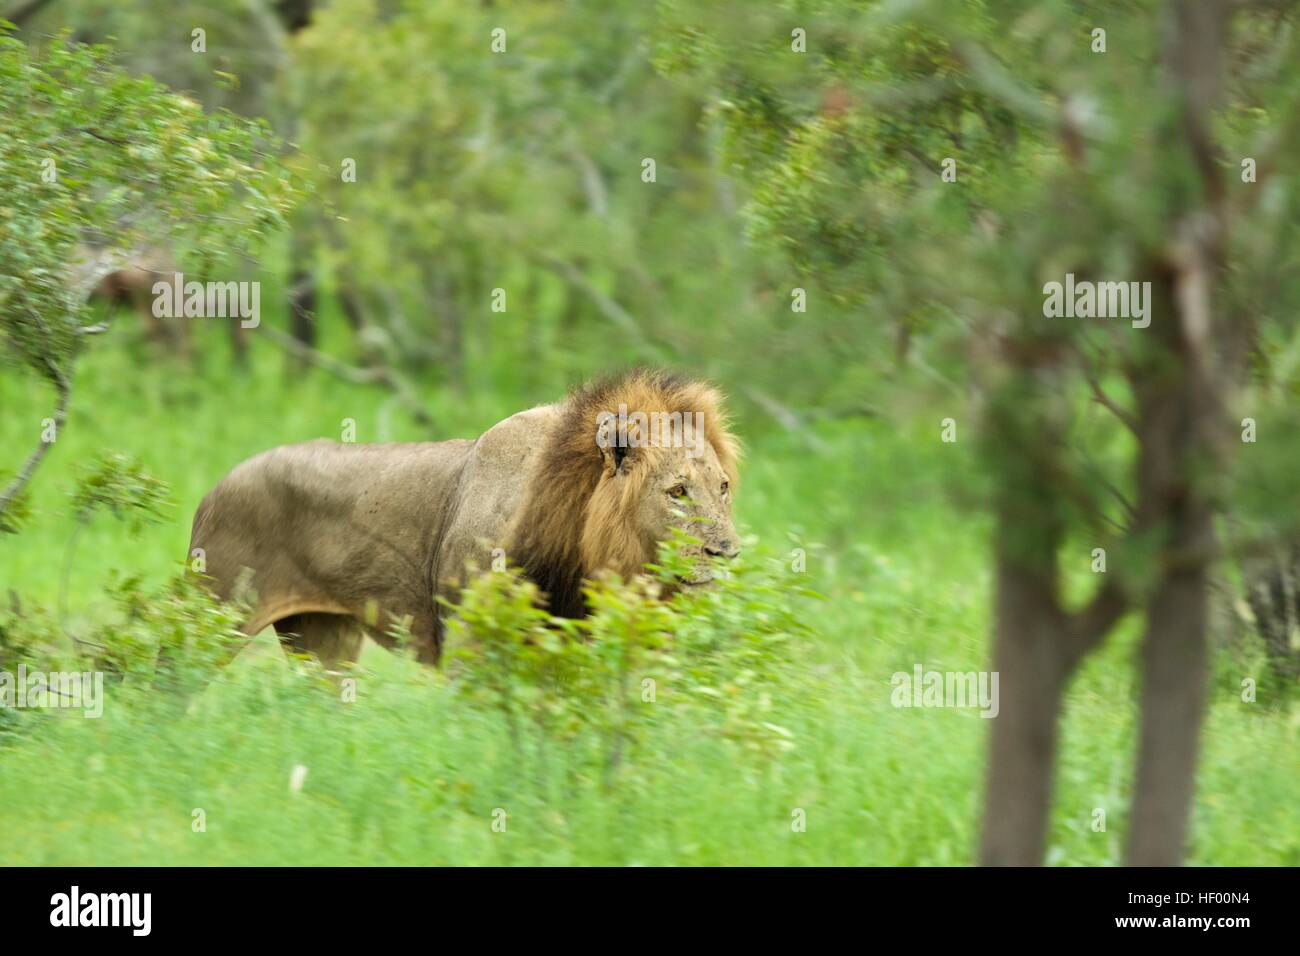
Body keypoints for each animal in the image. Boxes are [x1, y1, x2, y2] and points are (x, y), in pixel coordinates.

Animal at [181, 369, 740, 673]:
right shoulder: (469, 646)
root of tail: (212, 489)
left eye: (723, 488)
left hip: (323, 639)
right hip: (213, 612)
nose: (729, 553)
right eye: (677, 492)